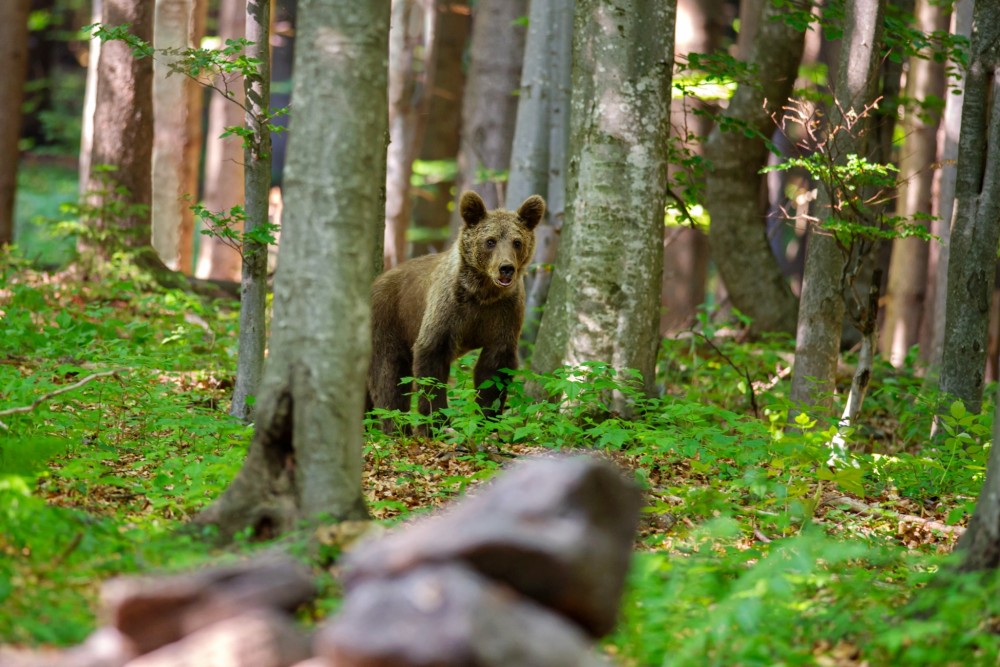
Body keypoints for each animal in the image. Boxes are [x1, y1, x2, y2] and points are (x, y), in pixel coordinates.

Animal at [366, 190, 544, 436]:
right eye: (490, 241)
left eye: (517, 242)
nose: (506, 268)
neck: (482, 293)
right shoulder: (448, 311)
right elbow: (431, 365)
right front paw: (436, 424)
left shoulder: (503, 315)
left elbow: (494, 370)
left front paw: (488, 422)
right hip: (389, 322)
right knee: (388, 377)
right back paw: (397, 429)